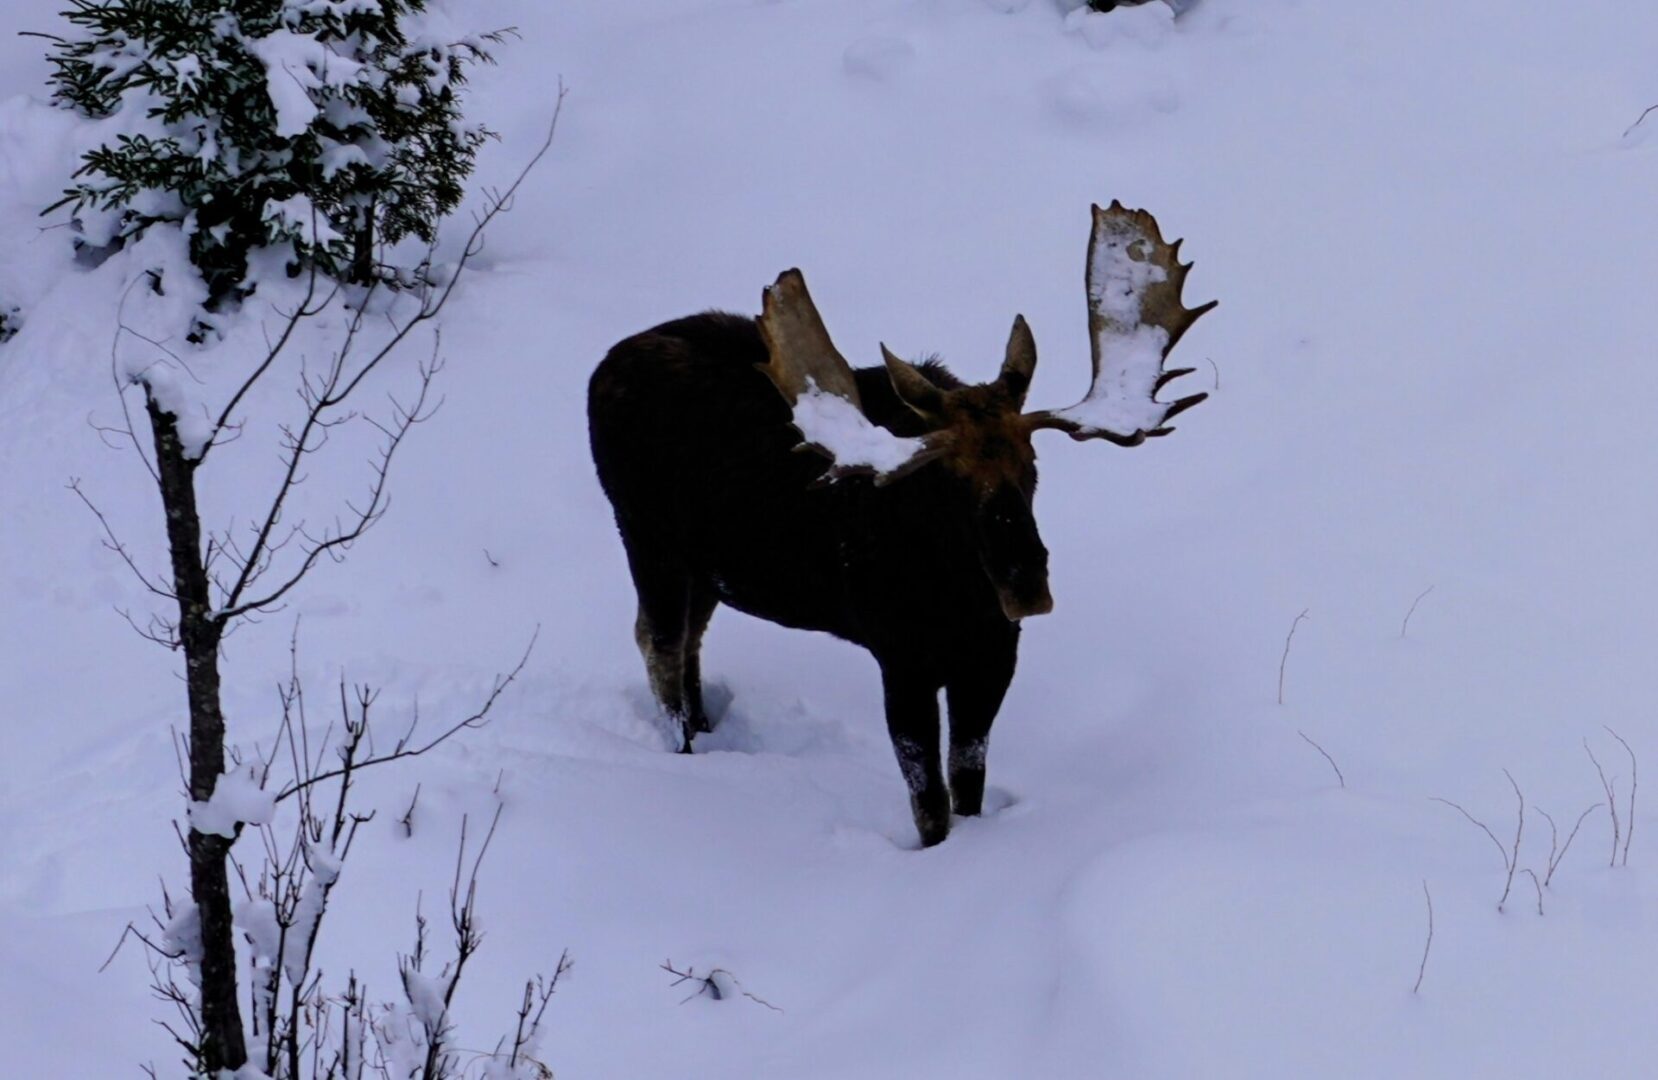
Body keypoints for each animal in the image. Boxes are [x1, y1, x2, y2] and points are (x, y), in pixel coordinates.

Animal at [590, 200, 1213, 846]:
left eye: (1033, 463)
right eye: (949, 477)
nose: (1026, 585)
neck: (960, 597)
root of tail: (603, 367)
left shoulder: (993, 657)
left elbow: (968, 783)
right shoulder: (902, 659)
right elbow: (930, 801)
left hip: (705, 568)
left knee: (691, 639)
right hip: (644, 536)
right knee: (658, 641)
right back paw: (683, 750)